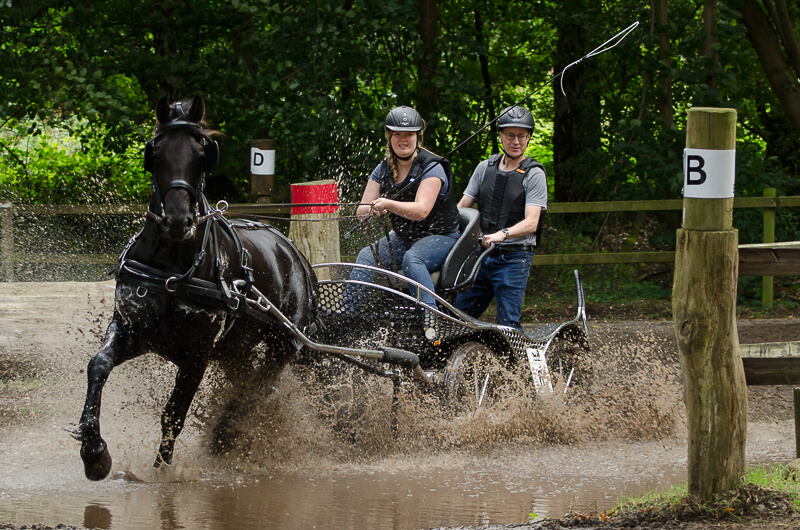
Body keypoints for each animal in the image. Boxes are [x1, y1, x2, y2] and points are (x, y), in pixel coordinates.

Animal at [76, 95, 319, 481]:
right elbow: (98, 366)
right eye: (156, 152)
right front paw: (94, 453)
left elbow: (173, 414)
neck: (171, 266)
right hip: (236, 352)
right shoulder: (133, 330)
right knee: (247, 384)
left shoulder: (197, 354)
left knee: (258, 389)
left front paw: (161, 472)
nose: (179, 221)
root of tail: (295, 254)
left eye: (202, 153)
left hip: (282, 345)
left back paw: (224, 436)